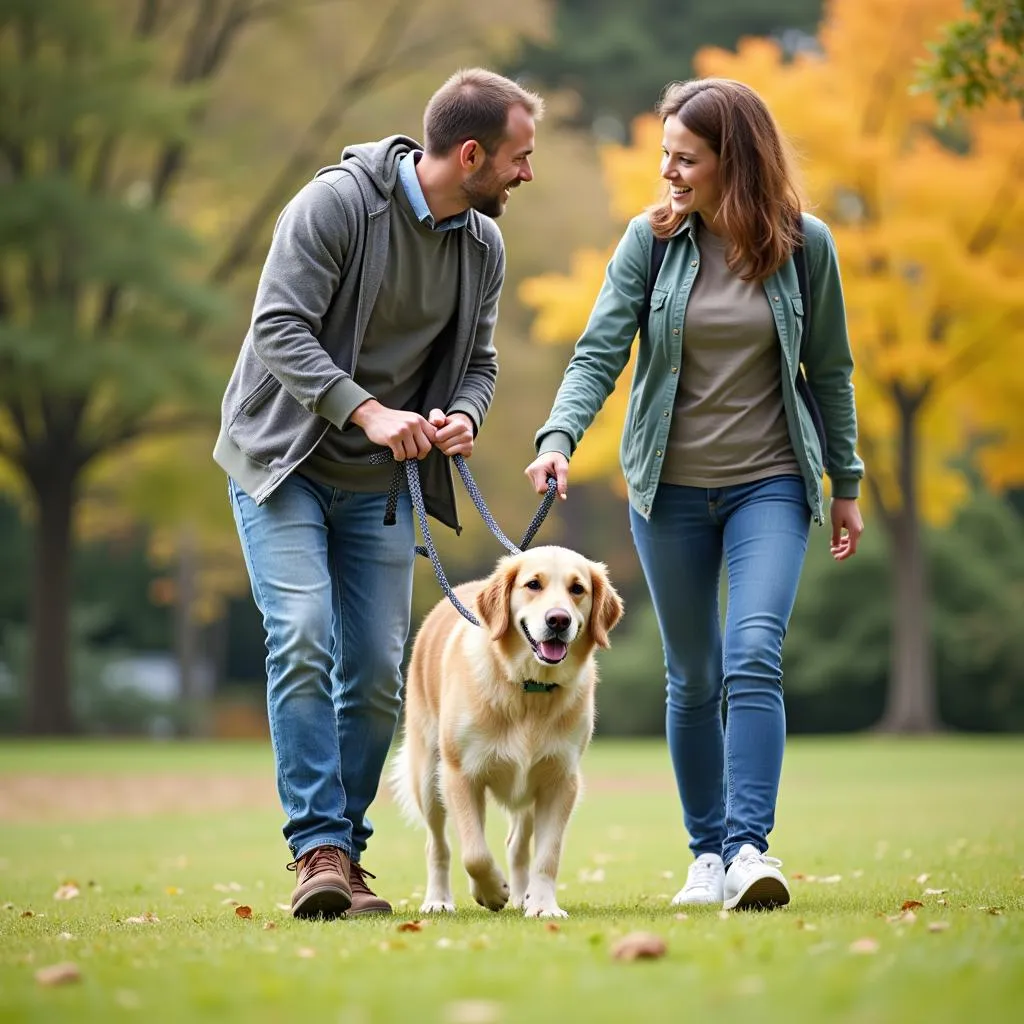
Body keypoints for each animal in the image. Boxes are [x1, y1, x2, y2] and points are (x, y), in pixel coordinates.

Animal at [387, 544, 618, 921]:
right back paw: (438, 900)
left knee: (517, 845)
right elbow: (474, 853)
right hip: (428, 776)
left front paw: (543, 905)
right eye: (533, 584)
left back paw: (524, 895)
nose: (559, 620)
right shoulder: (460, 775)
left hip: (528, 787)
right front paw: (492, 891)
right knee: (437, 844)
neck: (529, 687)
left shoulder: (560, 780)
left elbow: (547, 856)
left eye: (578, 589)